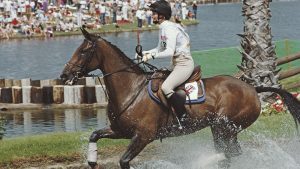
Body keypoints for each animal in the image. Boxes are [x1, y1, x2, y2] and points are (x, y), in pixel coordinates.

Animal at [60, 27, 300, 169]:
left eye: (83, 51)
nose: (64, 75)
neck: (131, 90)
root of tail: (252, 88)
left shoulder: (143, 136)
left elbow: (124, 160)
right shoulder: (120, 131)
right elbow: (94, 135)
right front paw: (92, 161)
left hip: (226, 126)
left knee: (230, 153)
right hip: (220, 128)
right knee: (228, 152)